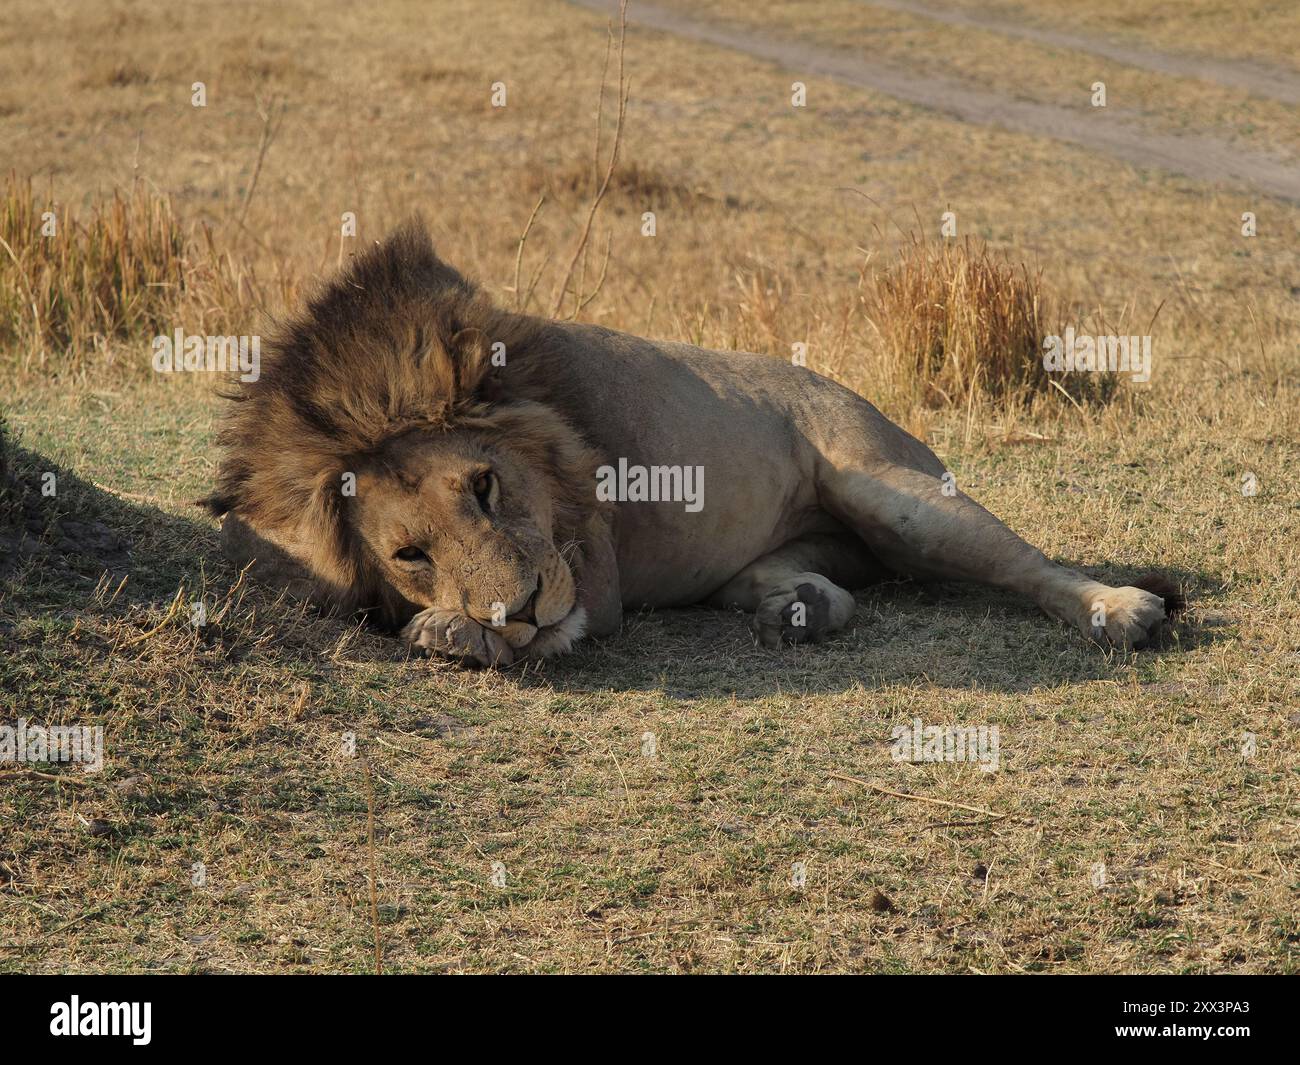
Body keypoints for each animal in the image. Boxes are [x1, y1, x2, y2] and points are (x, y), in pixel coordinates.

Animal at [200, 217, 1180, 665]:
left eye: (485, 486)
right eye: (408, 552)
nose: (520, 608)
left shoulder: (591, 575)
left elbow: (553, 623)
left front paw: (459, 631)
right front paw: (456, 623)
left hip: (893, 490)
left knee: (1027, 562)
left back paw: (1123, 610)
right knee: (830, 586)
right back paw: (799, 608)